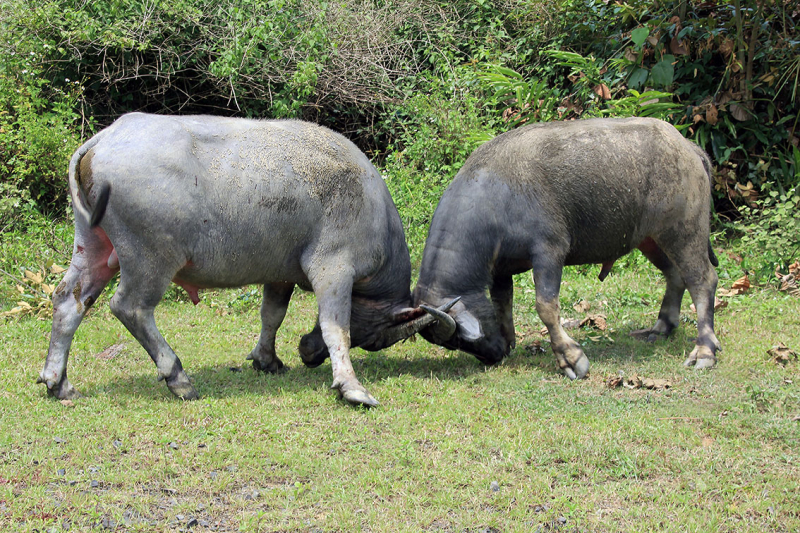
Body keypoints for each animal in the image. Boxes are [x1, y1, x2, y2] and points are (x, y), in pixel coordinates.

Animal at [416, 117, 720, 378]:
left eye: (460, 338)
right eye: (453, 344)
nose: (493, 355)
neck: (495, 199)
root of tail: (688, 147)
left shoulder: (549, 252)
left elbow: (545, 306)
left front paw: (570, 358)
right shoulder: (501, 269)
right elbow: (502, 303)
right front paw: (509, 339)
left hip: (684, 231)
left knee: (702, 280)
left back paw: (704, 350)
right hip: (652, 239)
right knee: (675, 276)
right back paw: (660, 328)